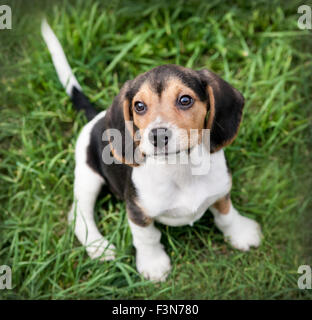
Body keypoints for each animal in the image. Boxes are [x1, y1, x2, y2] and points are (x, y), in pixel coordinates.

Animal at [41, 20, 260, 282]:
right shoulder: (137, 210)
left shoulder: (221, 191)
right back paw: (98, 246)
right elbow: (147, 238)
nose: (157, 135)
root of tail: (96, 116)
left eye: (185, 100)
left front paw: (240, 233)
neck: (180, 167)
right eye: (139, 106)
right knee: (79, 215)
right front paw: (153, 264)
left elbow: (226, 215)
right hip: (87, 175)